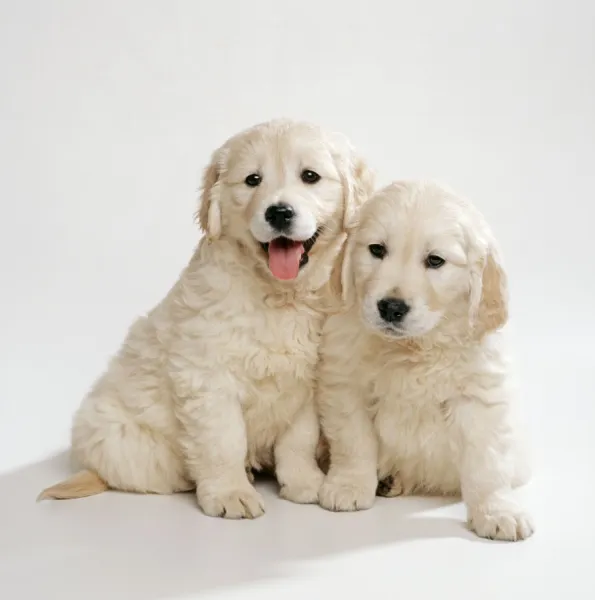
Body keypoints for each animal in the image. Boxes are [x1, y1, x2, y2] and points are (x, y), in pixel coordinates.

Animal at [38, 119, 372, 516]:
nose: (278, 213)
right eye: (252, 180)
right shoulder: (207, 378)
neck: (276, 295)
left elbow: (298, 441)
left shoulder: (306, 382)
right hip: (121, 439)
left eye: (310, 176)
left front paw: (305, 482)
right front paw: (230, 493)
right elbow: (223, 441)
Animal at [316, 180, 536, 540]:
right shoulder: (346, 385)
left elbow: (487, 462)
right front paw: (348, 486)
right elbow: (354, 442)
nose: (391, 307)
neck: (412, 348)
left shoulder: (479, 396)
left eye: (435, 260)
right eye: (376, 250)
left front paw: (497, 511)